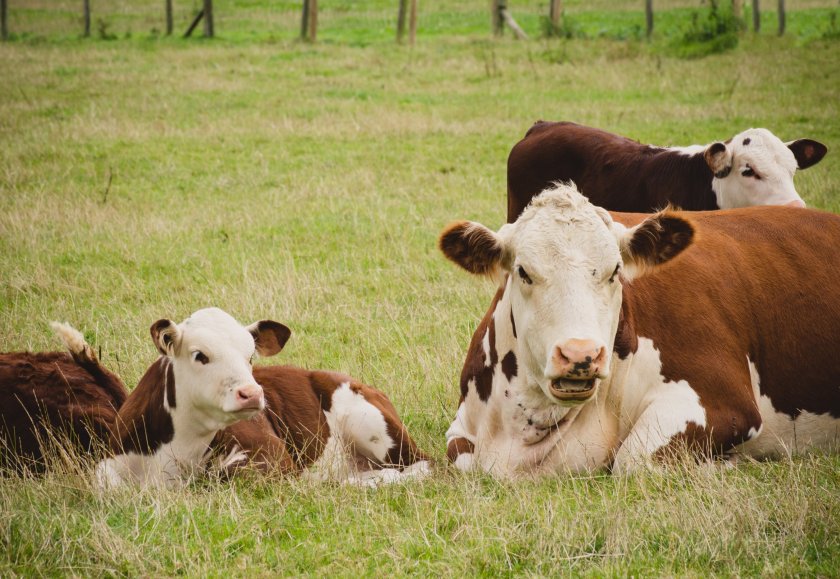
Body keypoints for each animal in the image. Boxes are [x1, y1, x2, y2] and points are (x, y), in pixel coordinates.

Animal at [1, 308, 429, 487]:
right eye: (200, 355)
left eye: (250, 355)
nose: (252, 393)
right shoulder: (107, 467)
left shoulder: (271, 458)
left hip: (373, 425)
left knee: (419, 467)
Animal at [439, 183, 840, 477]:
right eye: (523, 271)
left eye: (615, 271)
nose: (580, 354)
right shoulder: (461, 435)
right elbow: (462, 459)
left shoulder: (725, 404)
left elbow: (631, 462)